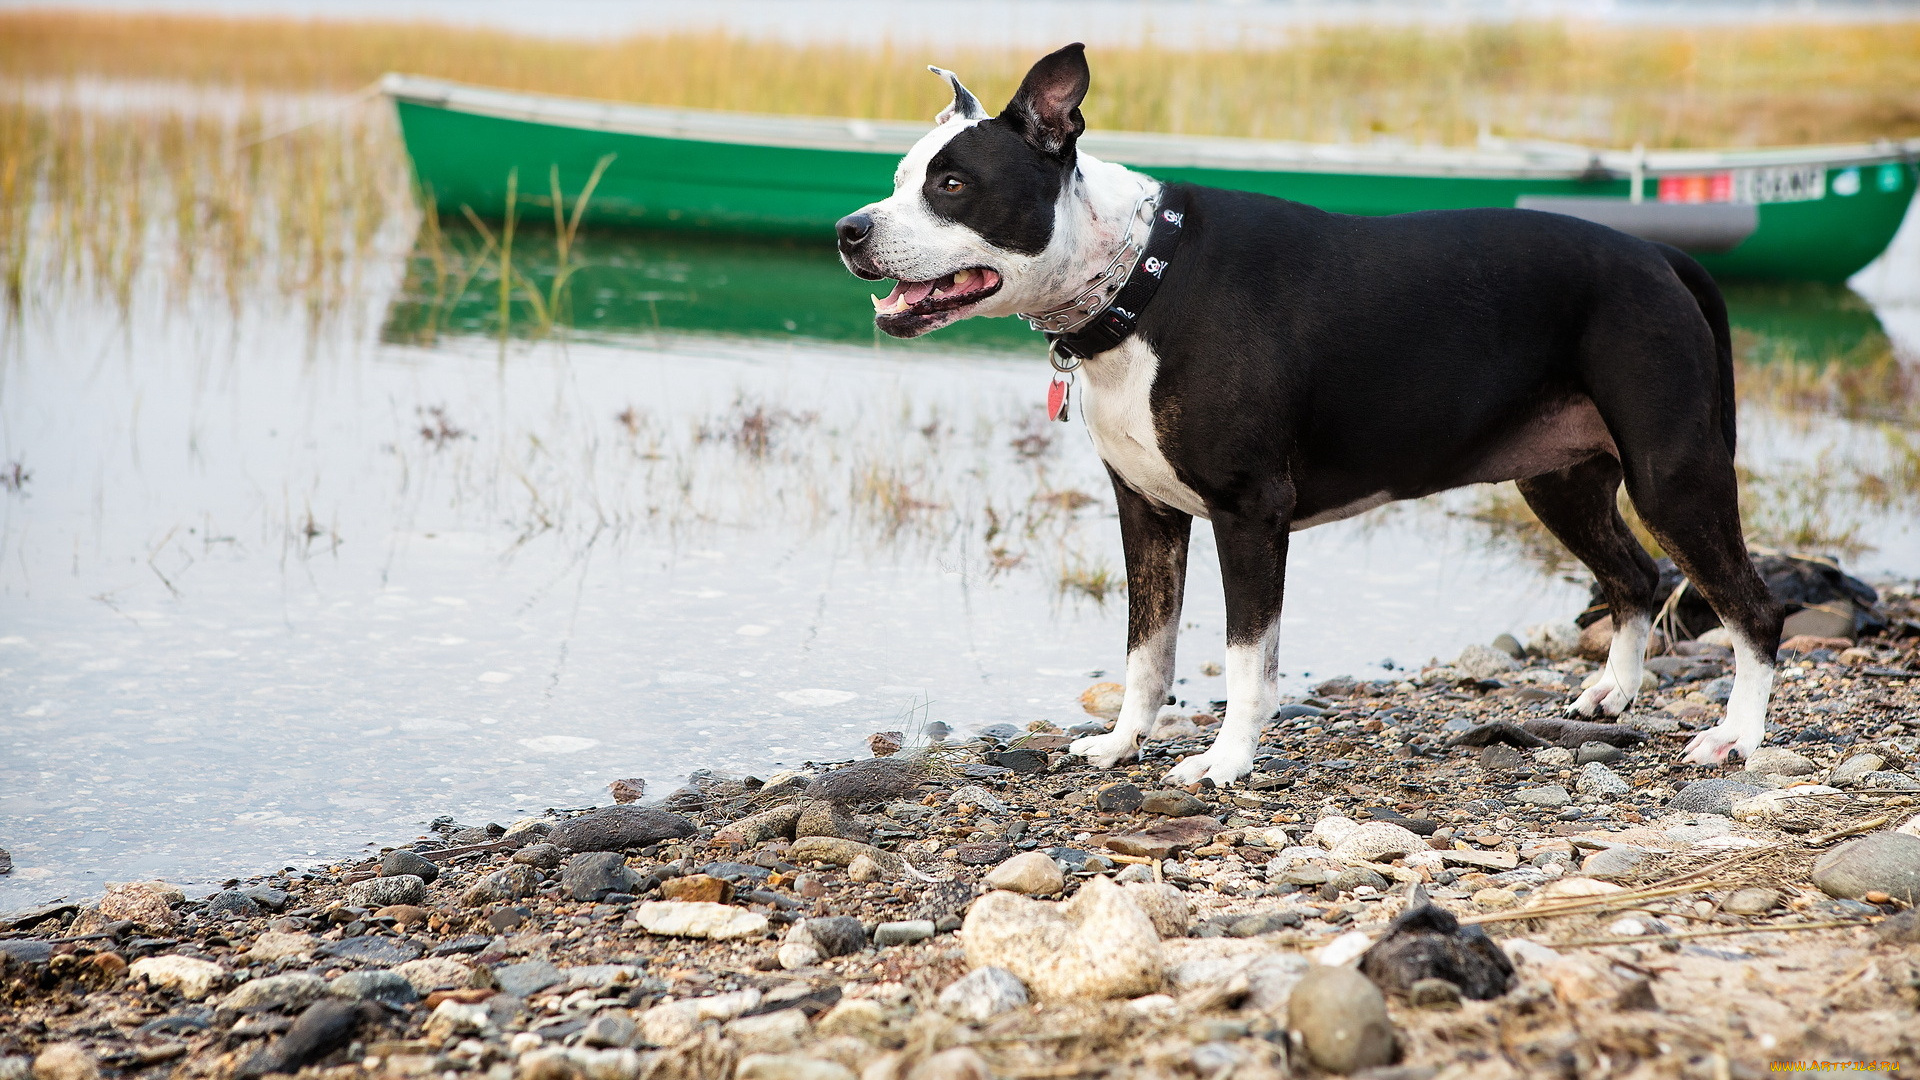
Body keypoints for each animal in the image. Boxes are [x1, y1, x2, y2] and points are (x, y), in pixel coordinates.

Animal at [840, 44, 1781, 780]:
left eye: (952, 184)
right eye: (895, 182)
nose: (851, 229)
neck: (1140, 279)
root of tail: (1656, 253)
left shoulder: (1249, 512)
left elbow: (1247, 659)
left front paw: (1225, 761)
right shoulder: (1146, 514)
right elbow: (1147, 649)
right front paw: (1122, 744)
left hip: (1672, 477)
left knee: (1752, 609)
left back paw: (1734, 738)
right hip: (1560, 482)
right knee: (1635, 576)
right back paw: (1613, 693)